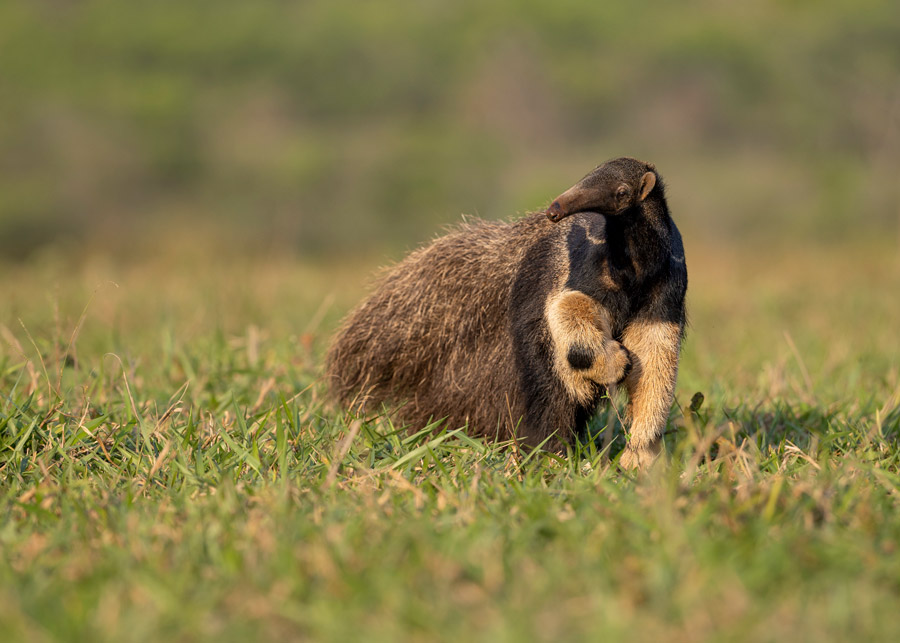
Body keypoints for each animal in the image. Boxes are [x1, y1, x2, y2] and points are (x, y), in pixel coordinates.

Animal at [325, 157, 687, 469]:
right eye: (587, 178)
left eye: (621, 192)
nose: (555, 209)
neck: (631, 263)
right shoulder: (578, 267)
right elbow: (569, 308)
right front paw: (615, 363)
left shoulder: (664, 288)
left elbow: (654, 358)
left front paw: (638, 454)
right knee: (548, 385)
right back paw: (548, 451)